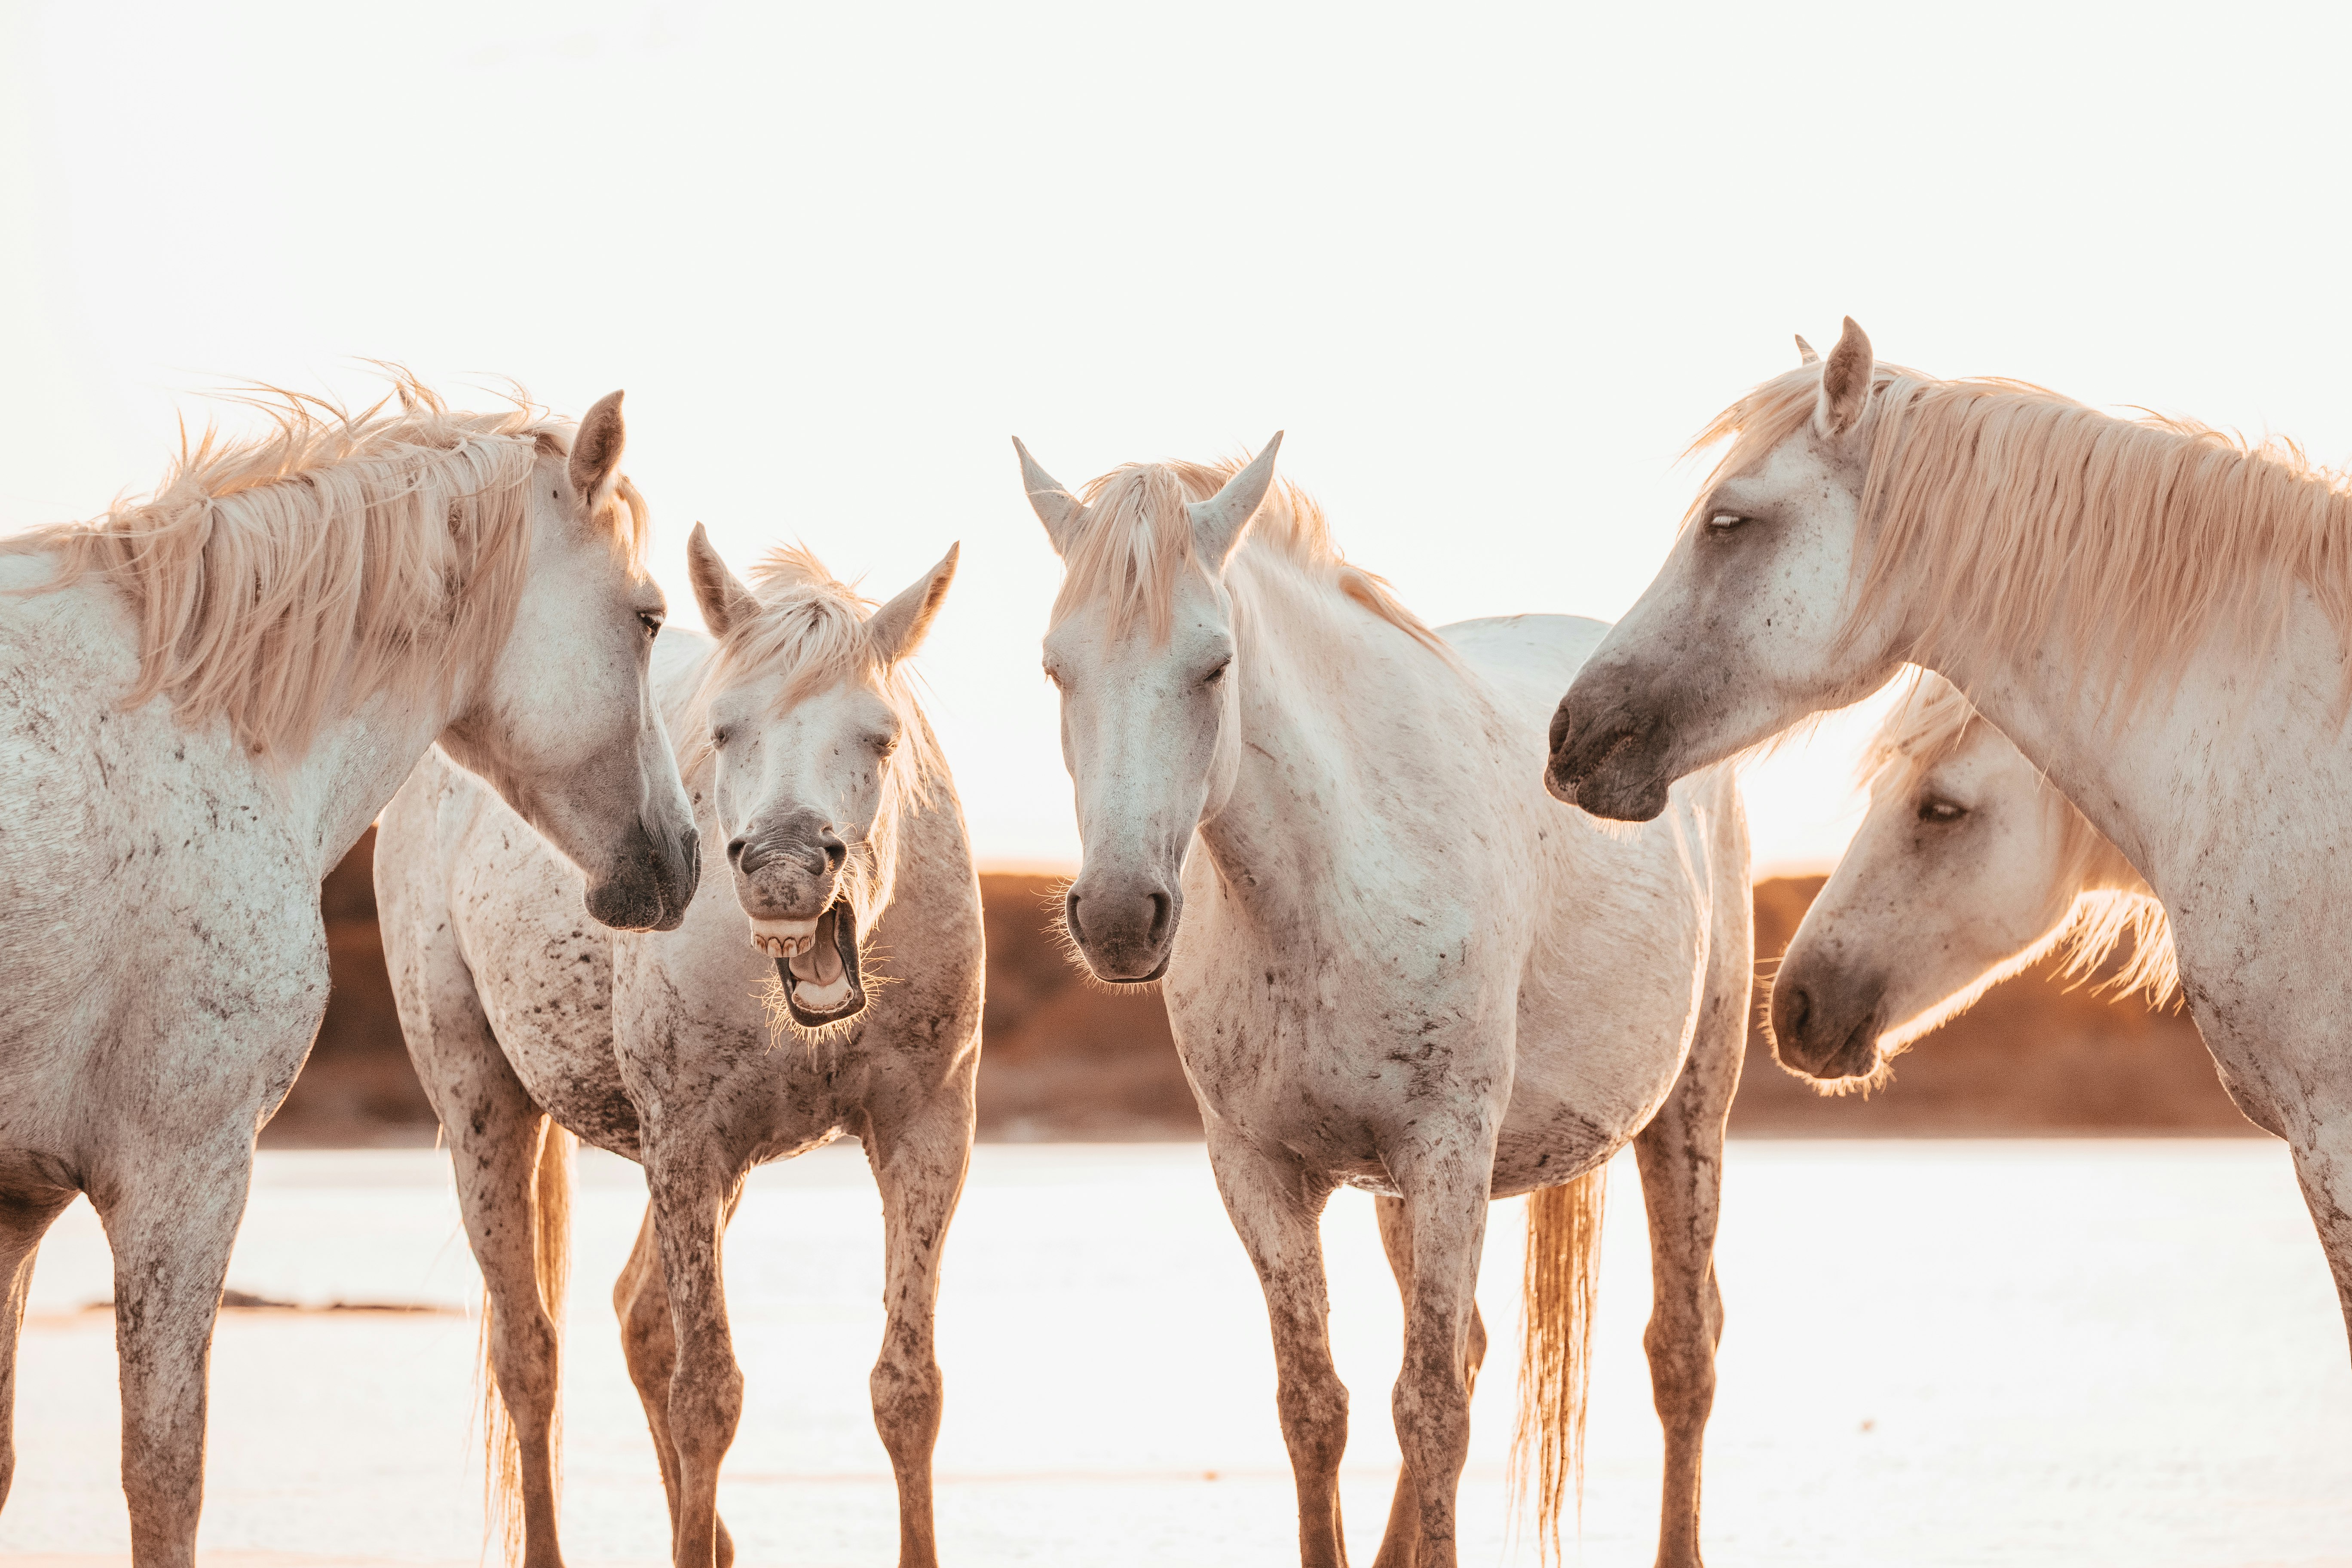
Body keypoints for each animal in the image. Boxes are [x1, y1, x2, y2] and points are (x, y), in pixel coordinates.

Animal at [0, 383, 696, 1568]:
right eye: (648, 618)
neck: (199, 724)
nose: (684, 859)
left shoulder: (19, 1205)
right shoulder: (182, 1172)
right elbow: (165, 1477)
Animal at [381, 527, 969, 1568]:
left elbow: (908, 1389)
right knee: (530, 1352)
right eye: (727, 731)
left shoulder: (925, 1135)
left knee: (637, 1318)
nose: (782, 867)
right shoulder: (690, 1143)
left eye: (882, 736)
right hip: (482, 1101)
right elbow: (709, 1397)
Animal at [1020, 432, 1759, 1568]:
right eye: (1058, 668)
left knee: (1682, 1350)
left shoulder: (1445, 1151)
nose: (1114, 916)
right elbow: (1314, 1406)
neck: (1324, 887)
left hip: (1687, 1112)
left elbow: (1431, 1409)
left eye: (1214, 665)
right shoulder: (1262, 1173)